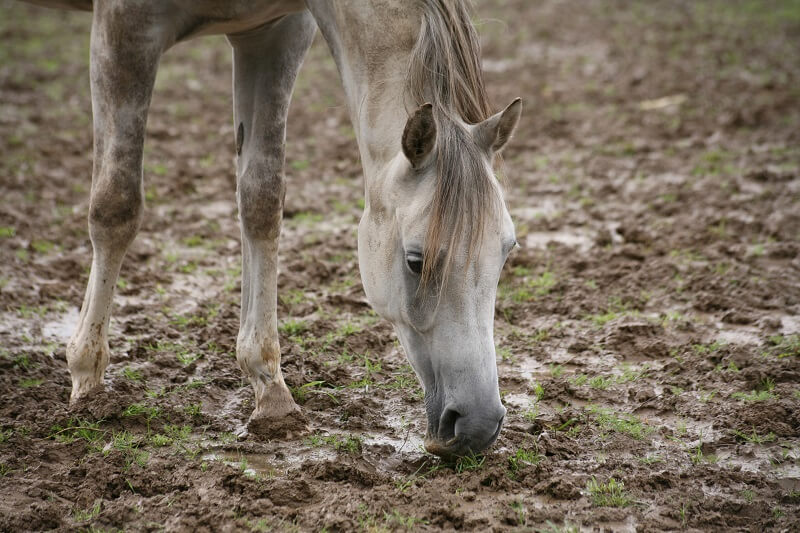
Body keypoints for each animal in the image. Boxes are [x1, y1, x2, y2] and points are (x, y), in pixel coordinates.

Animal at [21, 0, 520, 458]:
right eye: (416, 261)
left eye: (507, 251)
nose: (479, 424)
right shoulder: (124, 28)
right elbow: (115, 205)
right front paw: (87, 380)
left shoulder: (273, 33)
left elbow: (261, 201)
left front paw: (272, 394)